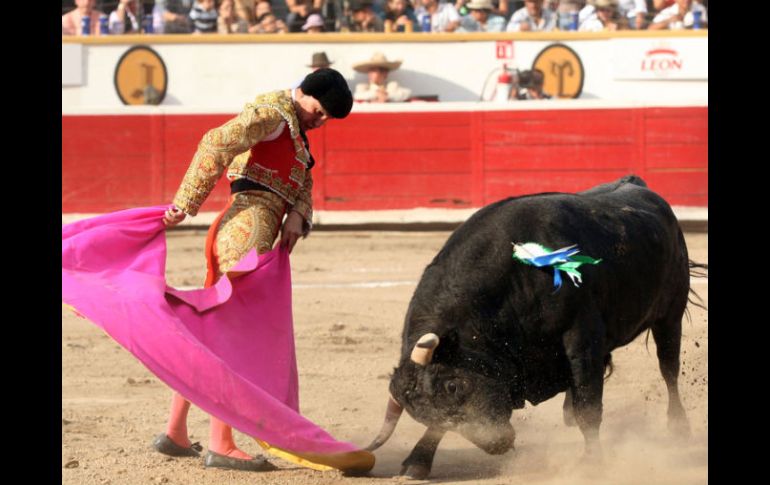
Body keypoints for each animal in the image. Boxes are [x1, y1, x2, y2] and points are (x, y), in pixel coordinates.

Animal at [364, 176, 692, 478]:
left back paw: (678, 428)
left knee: (668, 368)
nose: (497, 444)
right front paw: (416, 462)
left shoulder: (581, 335)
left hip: (670, 315)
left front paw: (591, 462)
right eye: (419, 415)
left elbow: (589, 405)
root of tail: (637, 184)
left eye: (453, 385)